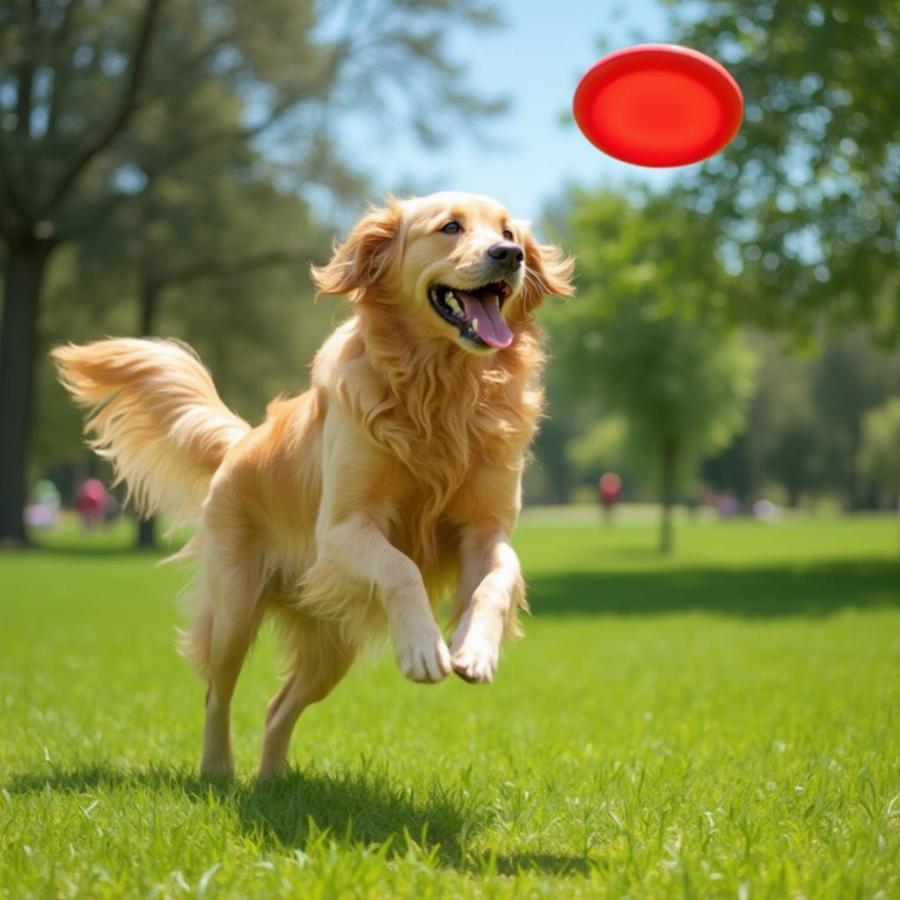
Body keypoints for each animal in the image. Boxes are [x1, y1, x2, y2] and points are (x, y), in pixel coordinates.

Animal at [54, 192, 576, 780]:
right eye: (450, 228)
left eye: (508, 231)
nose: (509, 255)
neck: (442, 389)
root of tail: (241, 442)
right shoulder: (344, 528)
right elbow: (401, 568)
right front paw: (423, 648)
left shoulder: (486, 529)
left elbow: (498, 580)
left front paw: (475, 649)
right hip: (236, 606)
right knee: (217, 693)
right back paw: (218, 770)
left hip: (331, 642)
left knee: (277, 706)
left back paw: (272, 782)